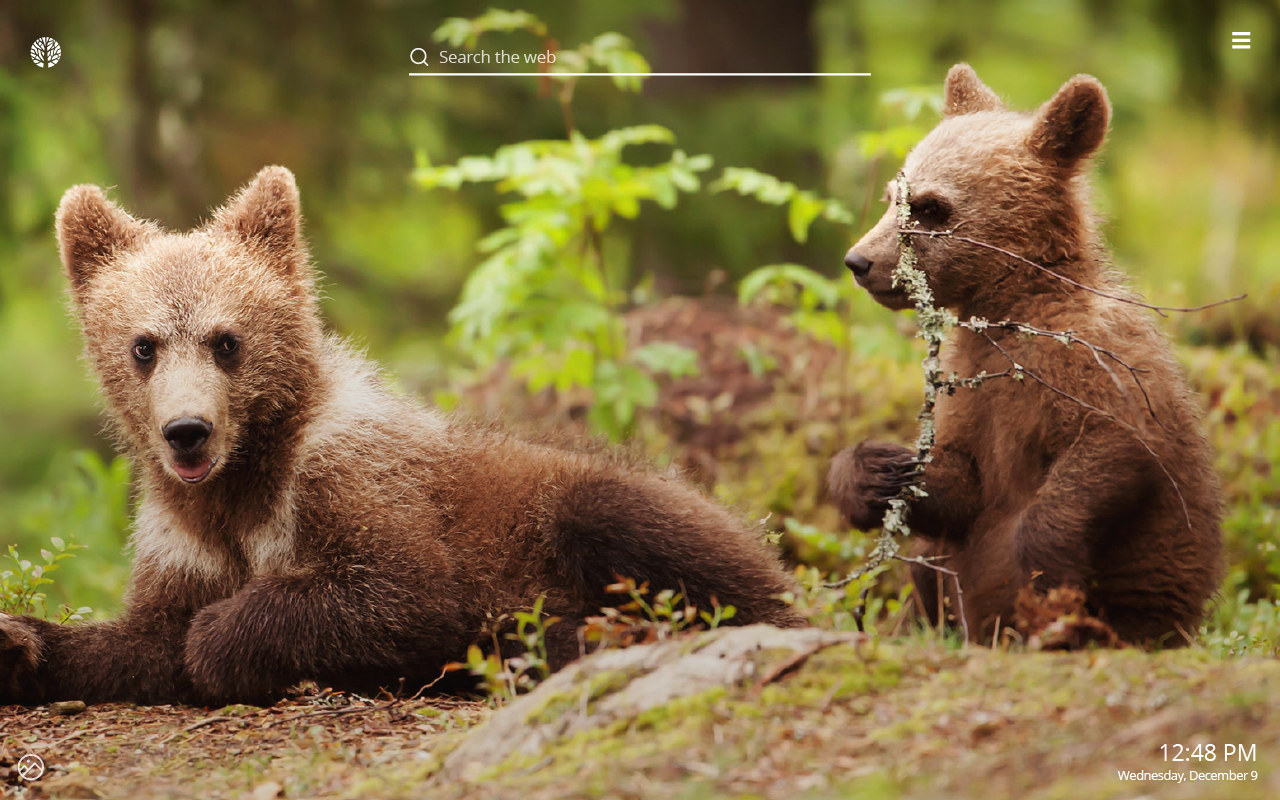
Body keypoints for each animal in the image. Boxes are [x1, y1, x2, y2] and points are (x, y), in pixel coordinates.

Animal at [0, 167, 803, 707]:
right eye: (144, 345)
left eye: (226, 341)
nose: (187, 432)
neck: (244, 481)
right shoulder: (182, 533)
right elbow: (144, 639)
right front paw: (21, 642)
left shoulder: (352, 477)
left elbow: (401, 591)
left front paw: (223, 639)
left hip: (598, 499)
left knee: (652, 536)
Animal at [828, 64, 1223, 647]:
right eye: (891, 196)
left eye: (930, 207)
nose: (859, 261)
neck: (1011, 307)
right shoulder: (970, 389)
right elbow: (961, 482)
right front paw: (872, 471)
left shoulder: (1097, 364)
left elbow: (1112, 448)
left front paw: (1049, 583)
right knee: (928, 567)